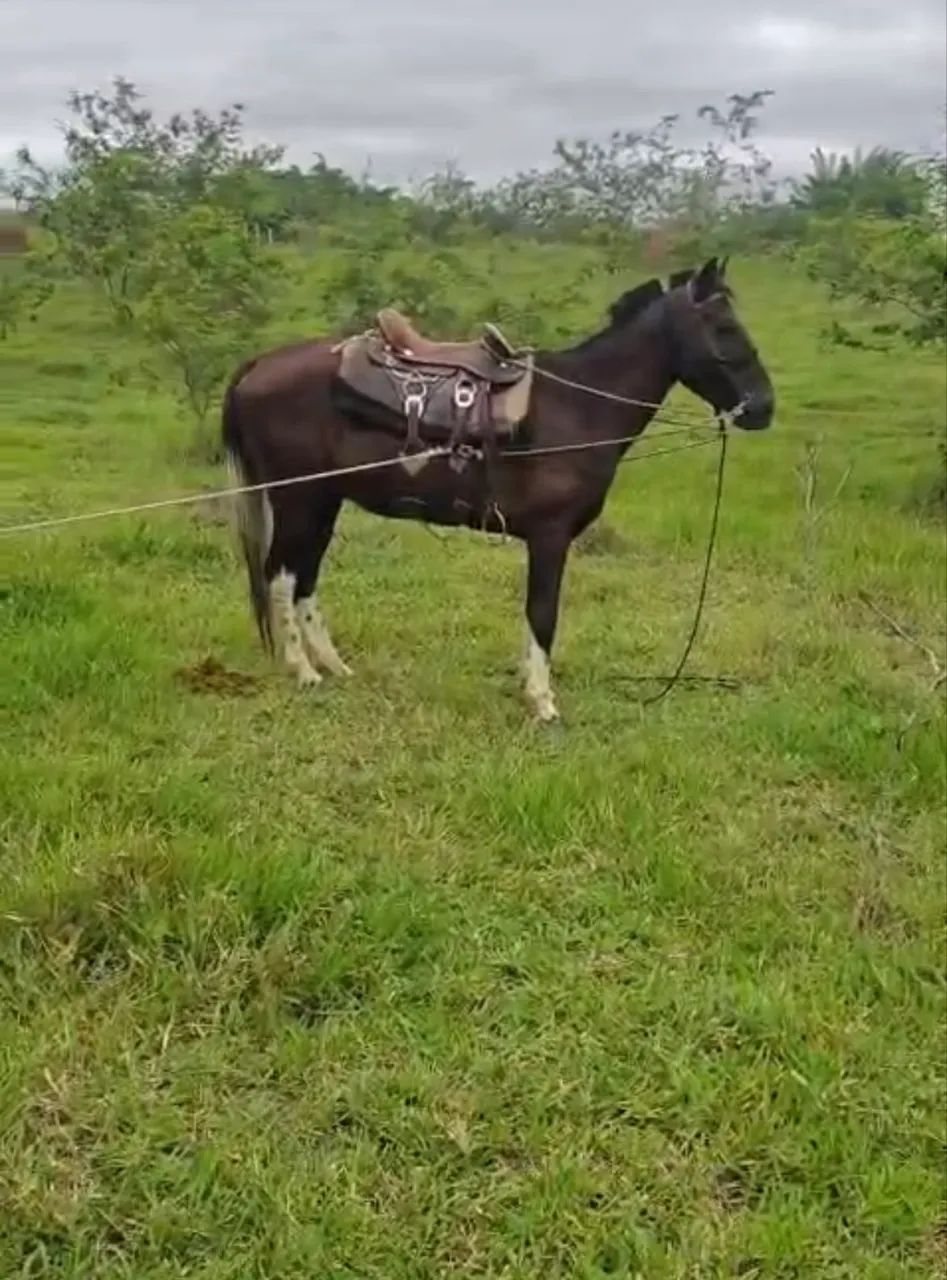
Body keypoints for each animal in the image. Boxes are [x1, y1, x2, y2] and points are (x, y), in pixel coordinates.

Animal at [221, 256, 774, 722]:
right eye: (724, 328)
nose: (764, 406)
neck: (579, 406)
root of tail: (257, 366)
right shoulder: (550, 537)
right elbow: (543, 615)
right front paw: (542, 701)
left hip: (324, 500)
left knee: (305, 580)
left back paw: (333, 667)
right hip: (298, 500)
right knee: (281, 578)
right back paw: (304, 672)